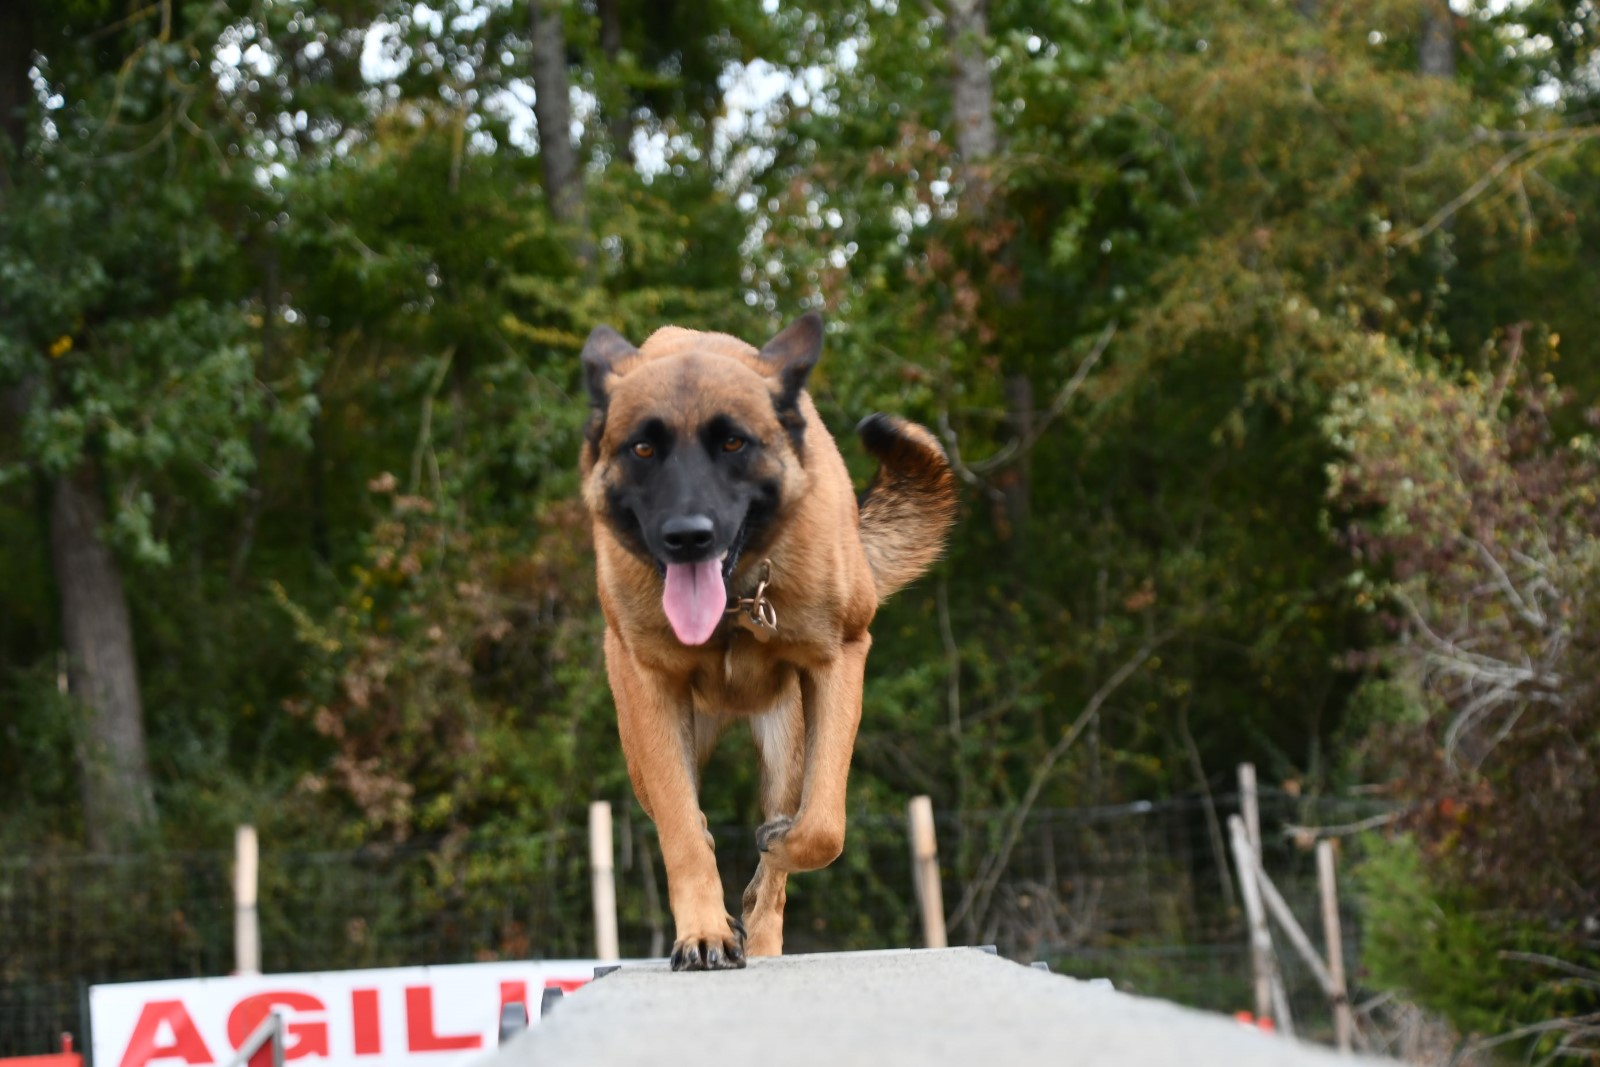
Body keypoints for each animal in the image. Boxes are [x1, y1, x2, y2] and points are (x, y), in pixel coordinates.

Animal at [578, 312, 956, 970]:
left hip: (787, 739)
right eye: (643, 448)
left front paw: (772, 858)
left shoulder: (840, 659)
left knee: (781, 855)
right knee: (685, 819)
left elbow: (823, 826)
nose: (688, 537)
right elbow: (685, 831)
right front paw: (704, 931)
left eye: (734, 444)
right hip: (647, 751)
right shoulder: (650, 691)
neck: (735, 602)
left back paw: (763, 925)